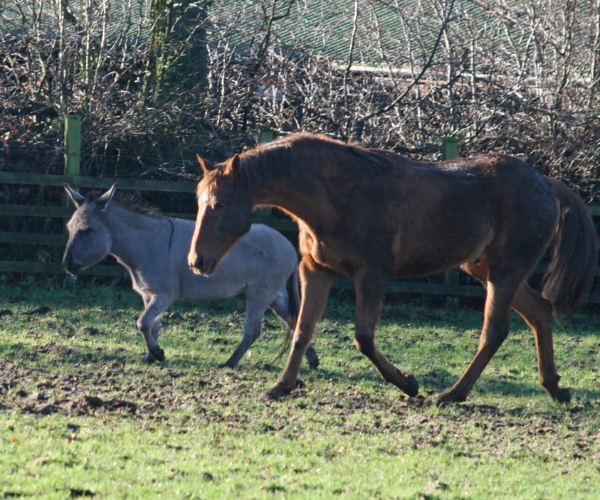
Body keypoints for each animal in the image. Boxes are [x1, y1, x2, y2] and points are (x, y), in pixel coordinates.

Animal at [190, 132, 596, 402]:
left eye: (220, 203)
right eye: (198, 200)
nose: (197, 261)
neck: (335, 195)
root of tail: (547, 183)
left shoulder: (372, 274)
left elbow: (364, 338)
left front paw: (409, 384)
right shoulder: (316, 270)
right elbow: (302, 330)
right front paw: (281, 386)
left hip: (504, 272)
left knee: (494, 331)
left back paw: (452, 394)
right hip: (484, 269)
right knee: (539, 312)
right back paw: (555, 387)